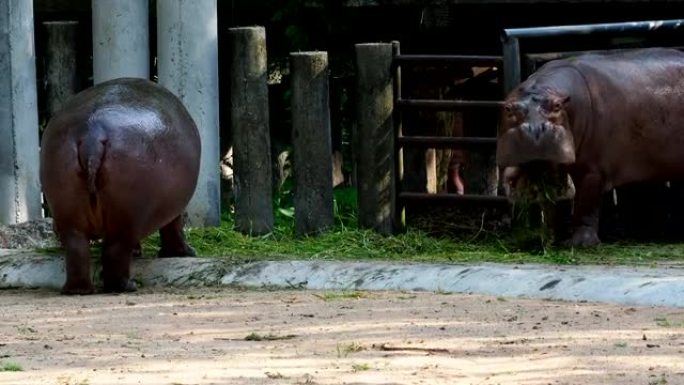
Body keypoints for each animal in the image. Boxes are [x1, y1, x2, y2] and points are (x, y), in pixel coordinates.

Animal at [39, 78, 200, 294]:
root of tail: (93, 132)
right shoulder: (173, 207)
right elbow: (174, 227)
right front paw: (185, 253)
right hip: (129, 214)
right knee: (116, 251)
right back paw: (128, 286)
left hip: (66, 207)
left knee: (77, 249)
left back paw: (77, 290)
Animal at [494, 47, 684, 246]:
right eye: (508, 109)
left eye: (557, 106)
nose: (535, 129)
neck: (546, 90)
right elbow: (553, 205)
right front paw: (551, 240)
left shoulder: (591, 168)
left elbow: (586, 204)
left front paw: (580, 244)